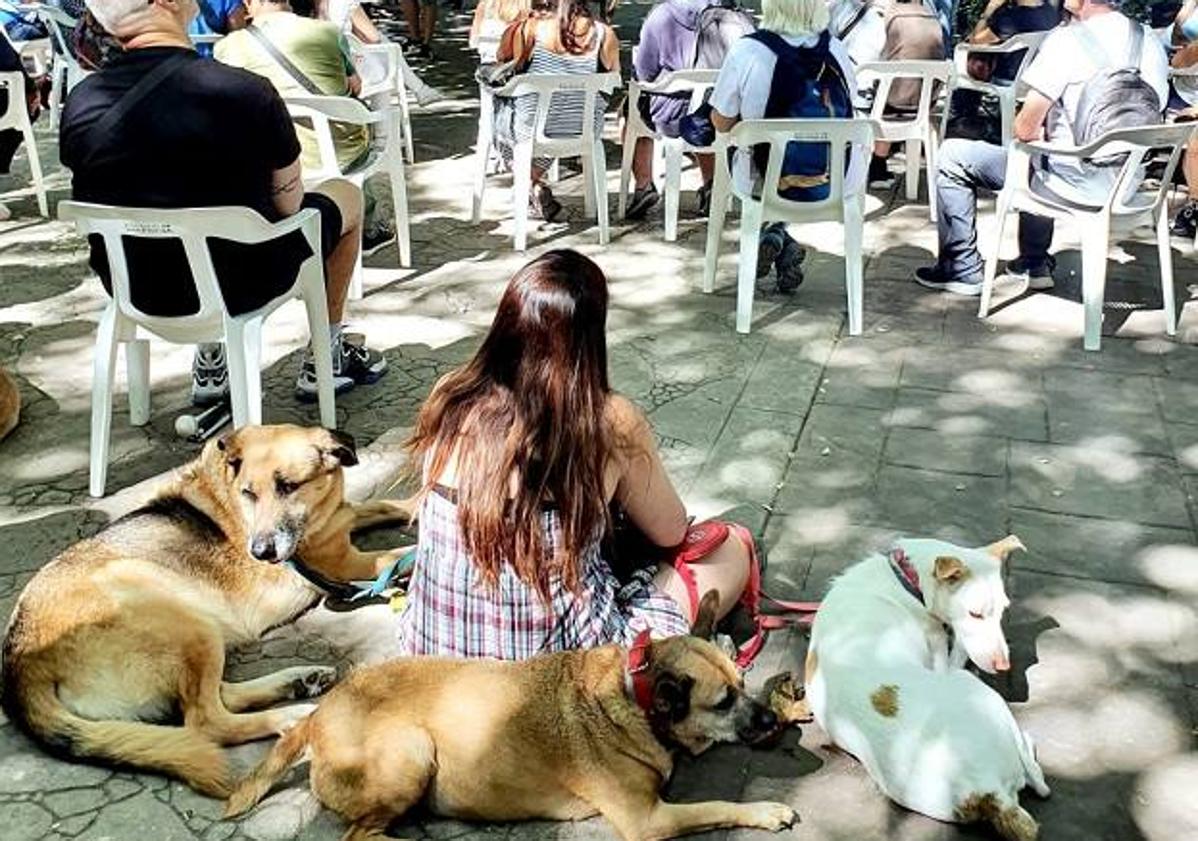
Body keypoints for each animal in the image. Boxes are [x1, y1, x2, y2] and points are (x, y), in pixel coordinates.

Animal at [1, 428, 412, 795]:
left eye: (288, 486)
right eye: (249, 493)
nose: (260, 552)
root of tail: (19, 665)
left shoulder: (344, 519)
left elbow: (384, 505)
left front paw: (416, 505)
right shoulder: (345, 562)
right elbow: (400, 554)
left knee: (218, 697)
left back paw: (298, 681)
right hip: (181, 617)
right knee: (206, 722)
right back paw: (292, 715)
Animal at [227, 594, 800, 841]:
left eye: (742, 684)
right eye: (722, 702)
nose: (773, 722)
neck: (634, 697)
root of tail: (316, 717)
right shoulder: (649, 820)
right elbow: (719, 805)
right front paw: (767, 810)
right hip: (412, 749)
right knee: (359, 837)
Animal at [805, 541, 1049, 841]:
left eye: (1003, 611)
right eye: (975, 614)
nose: (1004, 666)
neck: (905, 578)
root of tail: (989, 790)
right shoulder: (942, 655)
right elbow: (956, 648)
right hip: (971, 687)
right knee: (1037, 778)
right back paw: (1029, 743)